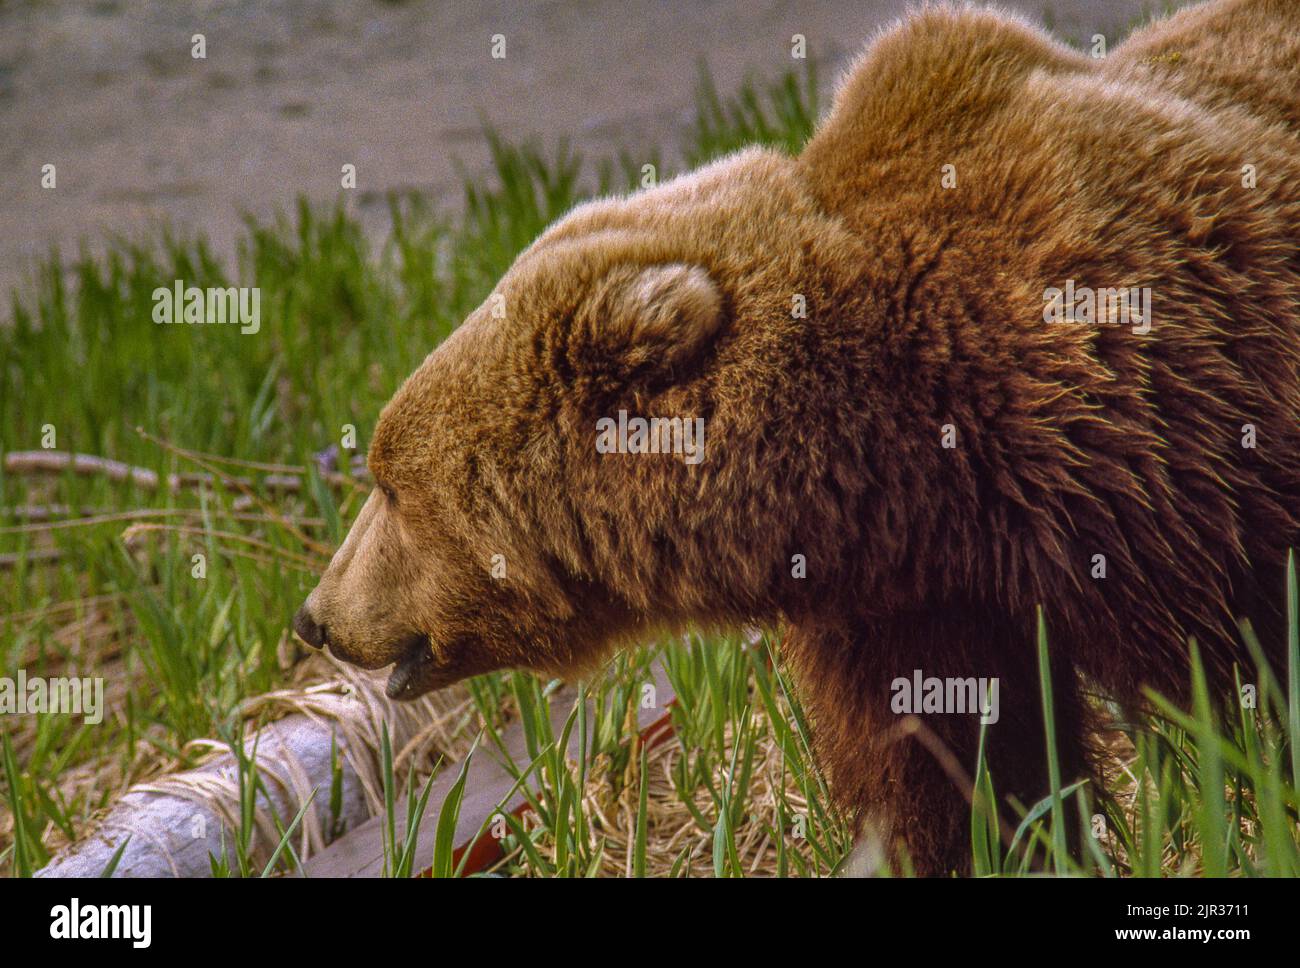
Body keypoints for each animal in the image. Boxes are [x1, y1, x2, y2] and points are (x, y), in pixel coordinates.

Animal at [295, 0, 1300, 875]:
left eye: (390, 484)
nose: (314, 617)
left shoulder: (1147, 447)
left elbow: (1242, 680)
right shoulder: (911, 601)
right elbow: (955, 758)